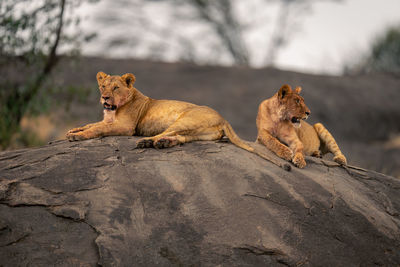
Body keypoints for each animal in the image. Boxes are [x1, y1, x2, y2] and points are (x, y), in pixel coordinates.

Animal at [65, 71, 290, 170]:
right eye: (103, 86)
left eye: (116, 88)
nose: (105, 98)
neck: (113, 109)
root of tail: (223, 118)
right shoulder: (109, 121)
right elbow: (92, 124)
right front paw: (73, 130)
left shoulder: (126, 127)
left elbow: (97, 129)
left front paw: (78, 137)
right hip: (198, 133)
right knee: (180, 138)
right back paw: (161, 143)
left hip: (184, 120)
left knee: (168, 133)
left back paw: (147, 142)